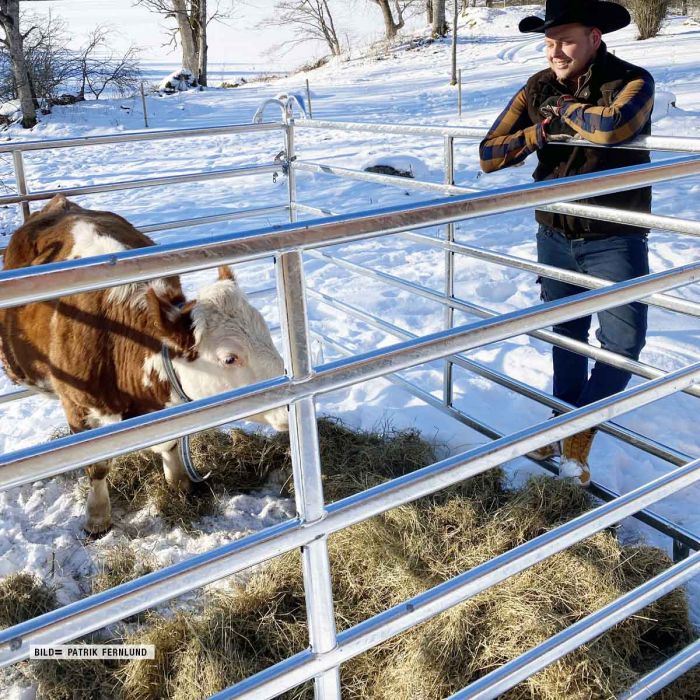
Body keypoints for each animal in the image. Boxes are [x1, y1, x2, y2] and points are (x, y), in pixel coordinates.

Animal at [0, 194, 288, 532]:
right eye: (230, 357)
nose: (287, 406)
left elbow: (172, 444)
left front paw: (179, 484)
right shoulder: (78, 407)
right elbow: (97, 466)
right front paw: (97, 517)